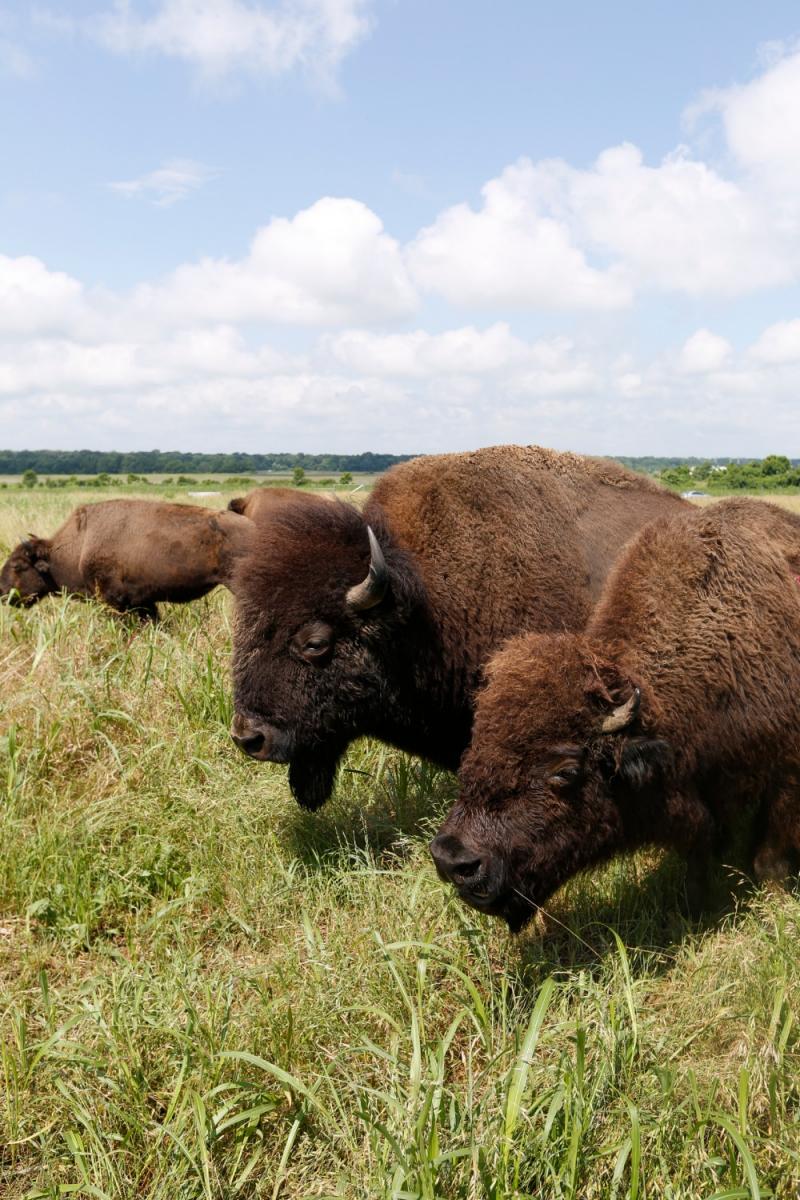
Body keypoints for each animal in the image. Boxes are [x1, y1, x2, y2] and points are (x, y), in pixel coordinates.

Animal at [431, 499, 800, 930]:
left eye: (565, 772)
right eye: (474, 748)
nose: (453, 860)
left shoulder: (786, 774)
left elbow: (768, 857)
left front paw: (776, 902)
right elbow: (699, 854)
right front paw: (692, 907)